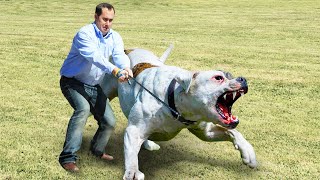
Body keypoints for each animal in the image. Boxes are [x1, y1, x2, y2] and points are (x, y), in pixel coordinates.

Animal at [100, 45, 258, 180]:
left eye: (230, 75)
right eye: (218, 78)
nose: (242, 79)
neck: (173, 99)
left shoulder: (206, 131)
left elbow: (233, 132)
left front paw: (247, 152)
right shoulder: (134, 130)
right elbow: (132, 154)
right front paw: (132, 172)